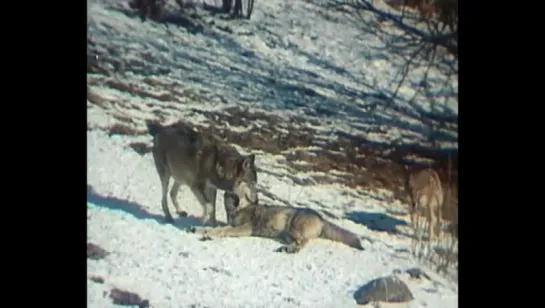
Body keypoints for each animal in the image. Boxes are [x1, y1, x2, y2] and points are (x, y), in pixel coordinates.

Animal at [189, 202, 364, 253]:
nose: (230, 211)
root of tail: (321, 218)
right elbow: (217, 229)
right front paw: (198, 230)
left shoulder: (242, 228)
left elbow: (222, 231)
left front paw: (207, 234)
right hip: (287, 234)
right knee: (299, 243)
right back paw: (287, 248)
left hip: (294, 229)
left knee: (304, 243)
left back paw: (290, 250)